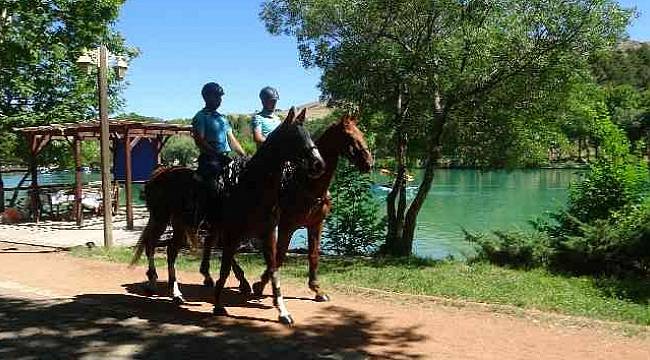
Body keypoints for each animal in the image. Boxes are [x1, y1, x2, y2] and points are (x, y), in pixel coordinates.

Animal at [132, 108, 324, 324]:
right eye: (295, 137)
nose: (318, 164)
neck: (250, 187)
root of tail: (158, 174)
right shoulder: (231, 234)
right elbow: (224, 269)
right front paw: (218, 305)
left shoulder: (267, 234)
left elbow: (273, 269)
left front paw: (283, 312)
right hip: (161, 218)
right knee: (151, 245)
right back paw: (154, 282)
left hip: (180, 224)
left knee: (171, 251)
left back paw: (176, 293)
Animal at [201, 114, 374, 300]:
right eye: (350, 136)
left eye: (361, 133)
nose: (369, 163)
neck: (306, 184)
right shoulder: (287, 226)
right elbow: (279, 255)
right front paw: (260, 285)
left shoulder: (316, 224)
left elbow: (313, 255)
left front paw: (317, 289)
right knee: (222, 245)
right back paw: (235, 280)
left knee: (217, 243)